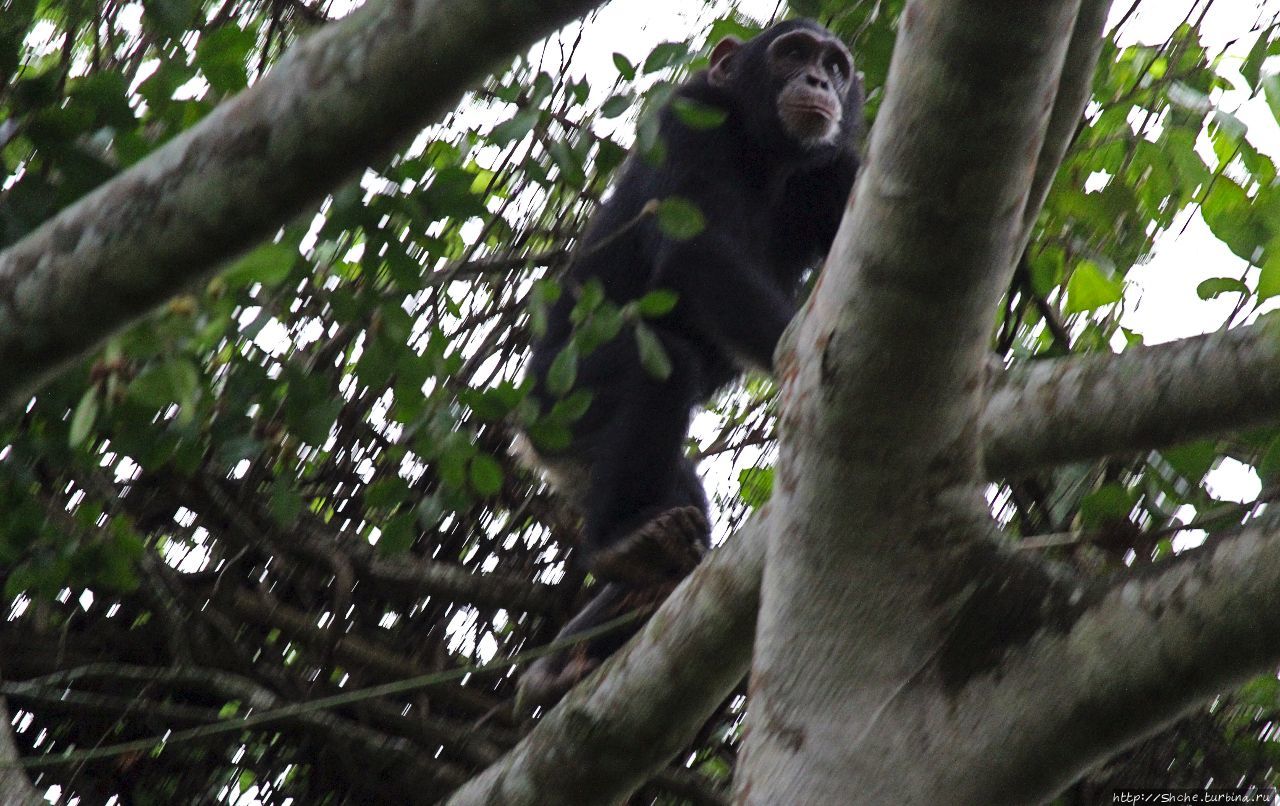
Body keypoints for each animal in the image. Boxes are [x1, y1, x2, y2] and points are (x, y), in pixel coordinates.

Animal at [517, 18, 860, 706]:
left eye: (836, 66)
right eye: (793, 54)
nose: (818, 80)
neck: (765, 154)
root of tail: (531, 447)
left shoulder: (836, 171)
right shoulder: (687, 117)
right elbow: (695, 251)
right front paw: (798, 359)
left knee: (688, 519)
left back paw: (571, 651)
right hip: (560, 405)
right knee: (664, 366)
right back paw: (618, 543)